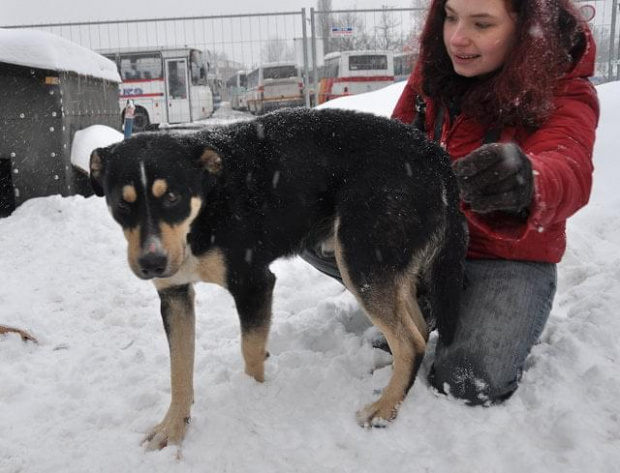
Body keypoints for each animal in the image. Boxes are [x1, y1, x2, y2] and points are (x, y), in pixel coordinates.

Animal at [87, 108, 464, 450]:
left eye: (171, 197)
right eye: (122, 203)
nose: (151, 263)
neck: (207, 205)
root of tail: (433, 153)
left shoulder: (253, 283)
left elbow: (250, 352)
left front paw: (254, 397)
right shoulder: (175, 297)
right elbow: (179, 370)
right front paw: (173, 427)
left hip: (360, 259)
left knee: (410, 341)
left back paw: (385, 408)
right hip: (382, 265)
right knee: (418, 326)